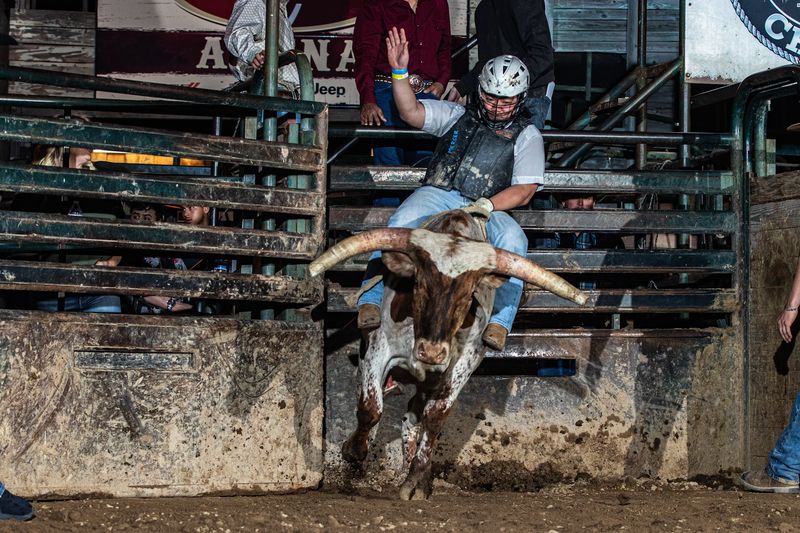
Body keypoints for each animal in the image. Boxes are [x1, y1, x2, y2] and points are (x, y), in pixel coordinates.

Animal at [310, 209, 587, 500]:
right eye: (419, 284)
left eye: (467, 296)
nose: (431, 352)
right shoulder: (377, 347)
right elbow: (370, 407)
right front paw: (354, 451)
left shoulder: (463, 363)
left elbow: (435, 418)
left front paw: (415, 481)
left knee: (413, 416)